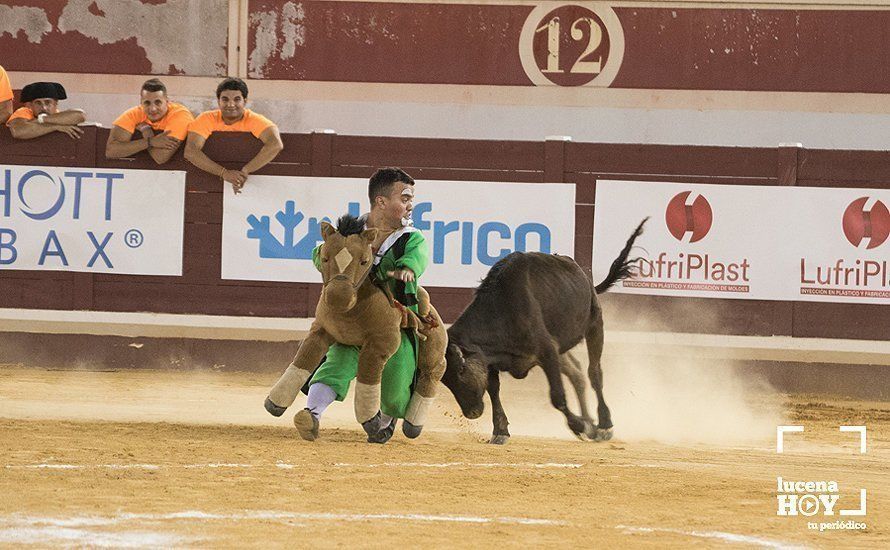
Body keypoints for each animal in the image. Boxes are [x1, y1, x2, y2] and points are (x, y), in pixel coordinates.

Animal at [438, 219, 640, 444]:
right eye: (444, 379)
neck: (500, 311)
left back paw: (603, 425)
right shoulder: (491, 358)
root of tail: (581, 272)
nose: (472, 412)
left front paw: (581, 426)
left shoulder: (547, 350)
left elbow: (557, 397)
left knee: (594, 373)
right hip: (562, 345)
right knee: (577, 373)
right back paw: (592, 422)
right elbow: (494, 390)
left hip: (595, 323)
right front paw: (500, 430)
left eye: (460, 370)